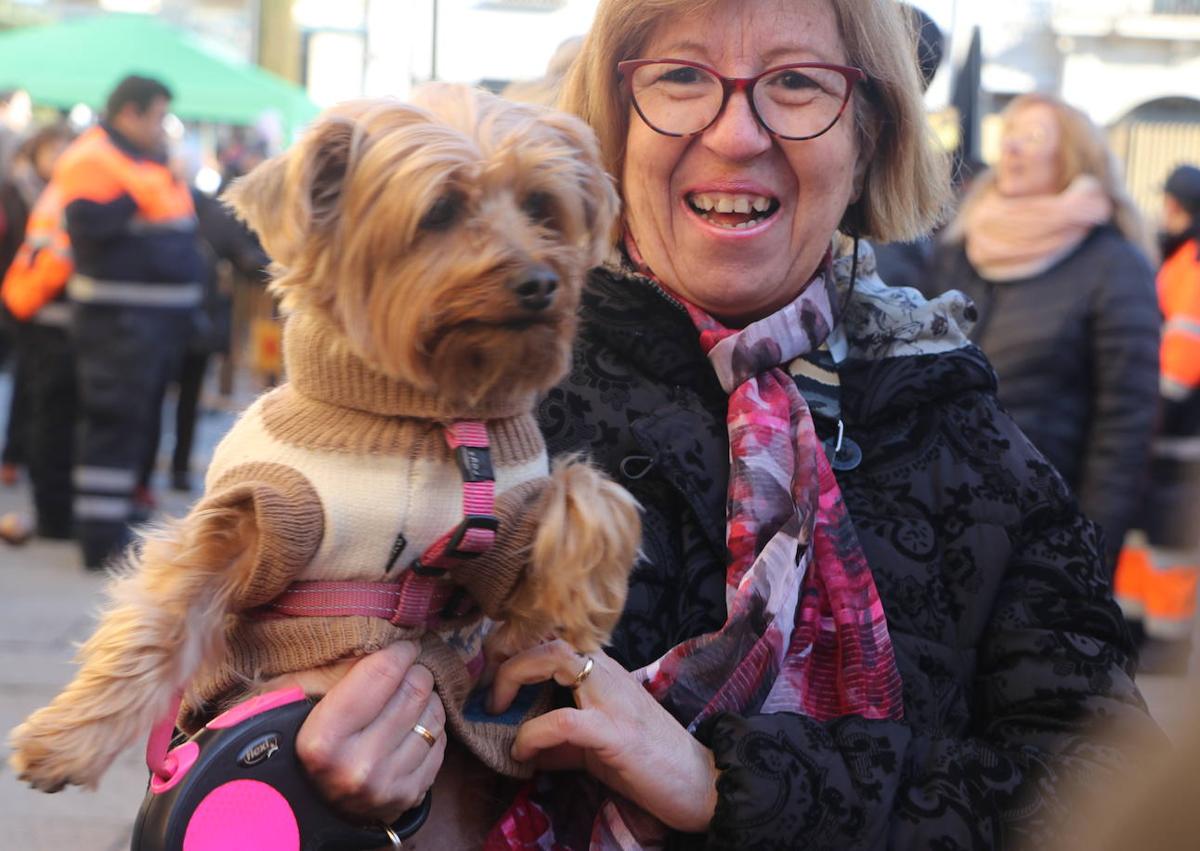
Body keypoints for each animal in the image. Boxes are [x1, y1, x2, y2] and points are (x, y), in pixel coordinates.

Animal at [9, 86, 643, 796]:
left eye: (540, 206)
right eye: (441, 210)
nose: (539, 282)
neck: (427, 415)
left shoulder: (499, 541)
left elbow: (587, 493)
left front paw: (583, 599)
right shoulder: (259, 516)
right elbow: (160, 617)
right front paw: (66, 741)